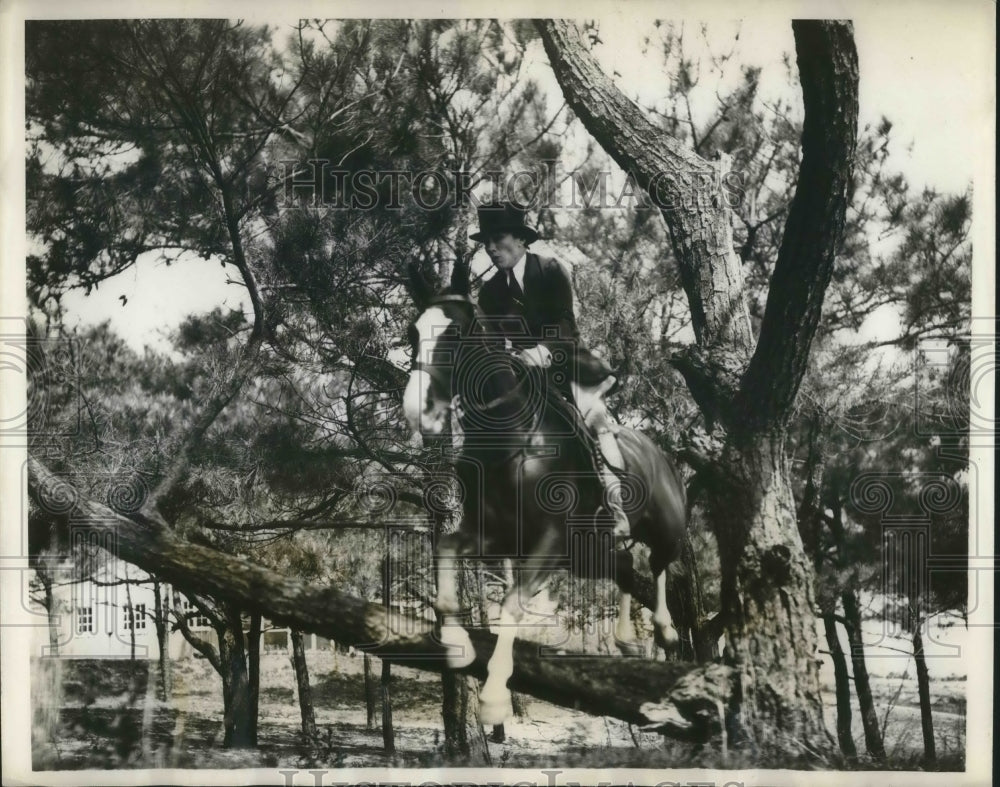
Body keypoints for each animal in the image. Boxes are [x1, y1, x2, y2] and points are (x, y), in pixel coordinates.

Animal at [398, 292, 688, 724]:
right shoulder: (494, 536)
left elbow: (512, 604)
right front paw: (454, 641)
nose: (418, 410)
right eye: (412, 334)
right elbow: (446, 551)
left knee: (656, 564)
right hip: (588, 554)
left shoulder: (550, 543)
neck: (508, 439)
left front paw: (494, 697)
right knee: (623, 567)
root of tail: (658, 452)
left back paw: (665, 629)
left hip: (666, 529)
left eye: (455, 335)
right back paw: (625, 640)